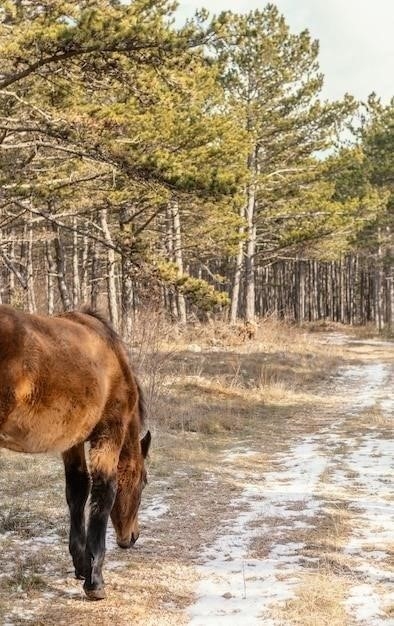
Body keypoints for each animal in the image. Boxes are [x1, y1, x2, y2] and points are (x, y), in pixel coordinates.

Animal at [0, 304, 151, 596]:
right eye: (145, 481)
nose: (132, 537)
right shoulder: (109, 433)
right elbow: (104, 493)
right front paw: (95, 580)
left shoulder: (73, 441)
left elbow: (77, 491)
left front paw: (81, 565)